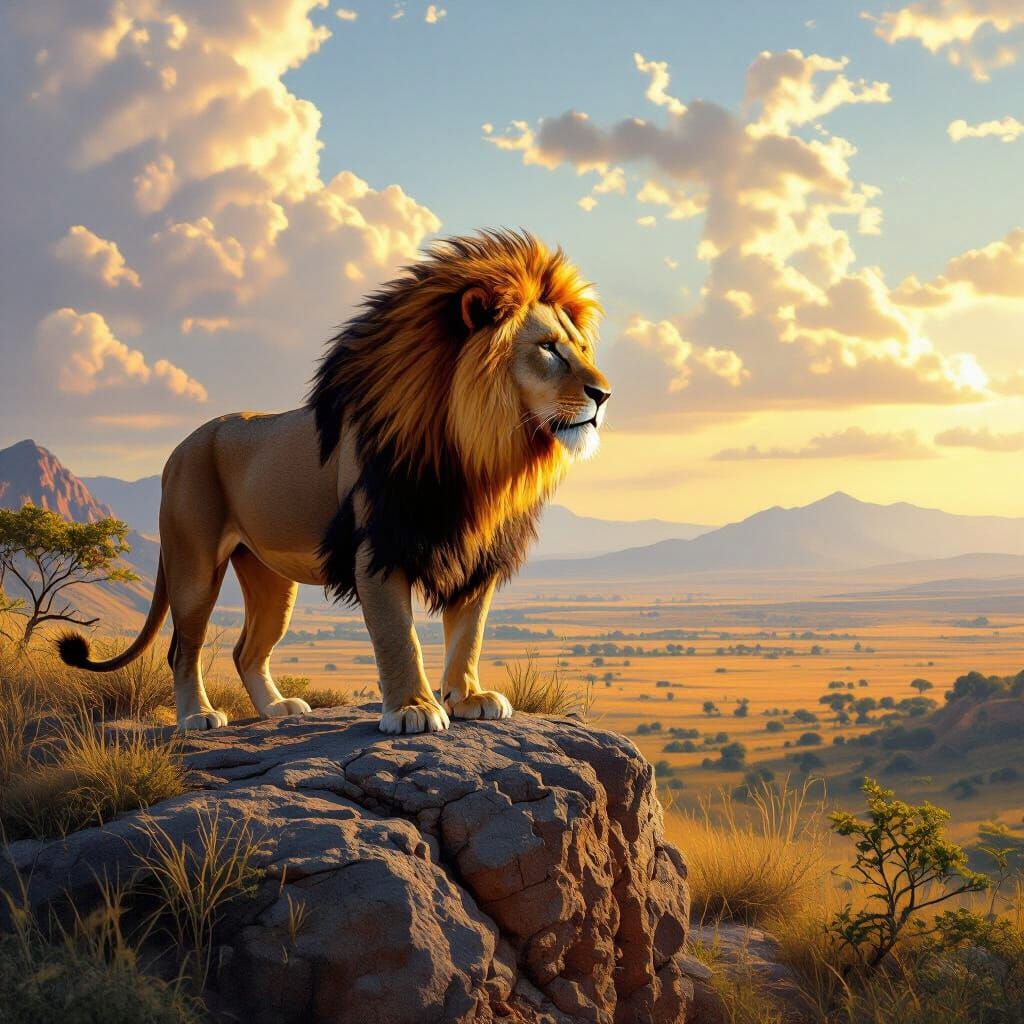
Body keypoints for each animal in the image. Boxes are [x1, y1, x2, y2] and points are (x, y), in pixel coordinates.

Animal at [57, 230, 611, 734]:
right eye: (548, 349)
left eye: (583, 348)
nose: (604, 394)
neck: (479, 455)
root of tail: (179, 448)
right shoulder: (377, 548)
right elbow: (398, 636)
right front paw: (412, 709)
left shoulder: (476, 552)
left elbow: (468, 633)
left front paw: (469, 696)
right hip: (194, 564)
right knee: (182, 648)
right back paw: (197, 717)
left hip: (270, 579)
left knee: (245, 650)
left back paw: (276, 709)